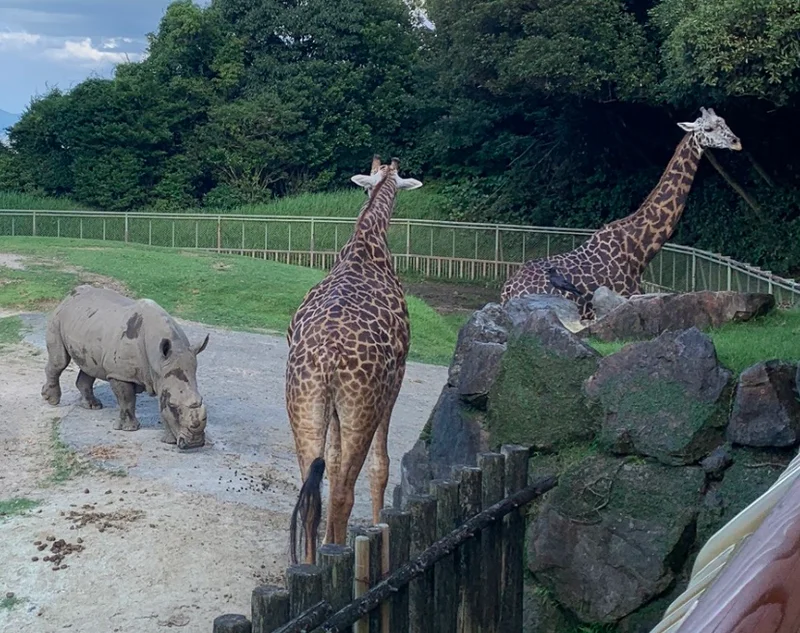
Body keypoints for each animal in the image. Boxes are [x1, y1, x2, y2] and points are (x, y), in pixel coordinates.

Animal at [284, 154, 422, 564]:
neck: (367, 242)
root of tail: (328, 358)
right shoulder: (397, 377)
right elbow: (381, 466)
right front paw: (379, 528)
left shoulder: (330, 408)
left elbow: (328, 468)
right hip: (363, 406)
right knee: (346, 489)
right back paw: (338, 551)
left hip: (304, 402)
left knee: (311, 491)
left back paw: (311, 566)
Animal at [500, 108, 744, 320]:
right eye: (708, 128)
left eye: (725, 122)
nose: (737, 142)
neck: (638, 250)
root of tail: (508, 291)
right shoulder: (624, 299)